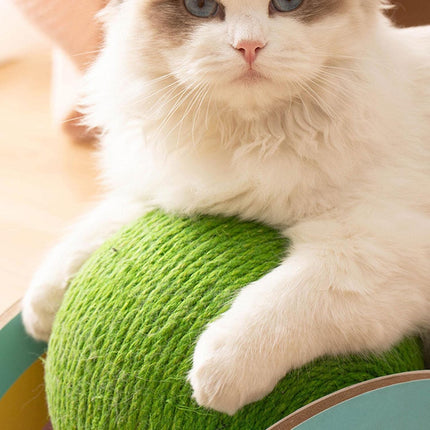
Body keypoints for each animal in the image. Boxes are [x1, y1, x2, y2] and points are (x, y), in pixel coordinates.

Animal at [22, 0, 430, 416]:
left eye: (288, 4)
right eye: (200, 7)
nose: (249, 46)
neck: (254, 140)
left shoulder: (373, 248)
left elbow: (282, 300)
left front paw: (219, 372)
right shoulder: (172, 189)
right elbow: (92, 233)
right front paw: (39, 309)